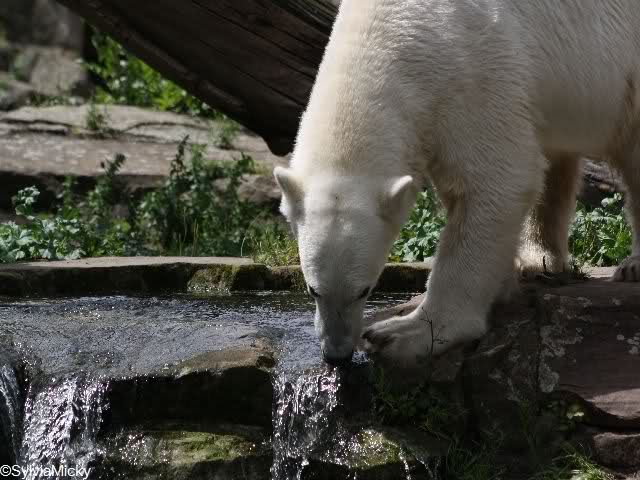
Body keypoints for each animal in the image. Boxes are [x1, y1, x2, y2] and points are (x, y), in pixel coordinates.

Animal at [274, 0, 640, 365]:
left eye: (365, 289)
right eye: (313, 289)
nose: (336, 353)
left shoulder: (474, 68)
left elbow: (499, 179)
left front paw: (404, 332)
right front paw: (505, 281)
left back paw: (632, 265)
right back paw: (541, 258)